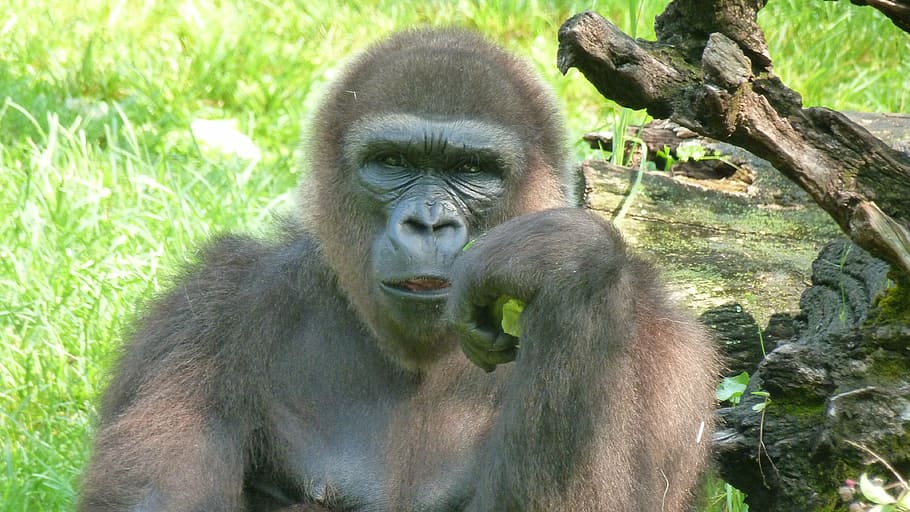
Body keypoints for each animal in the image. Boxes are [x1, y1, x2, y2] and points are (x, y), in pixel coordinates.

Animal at [79, 27, 717, 511]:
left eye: (471, 169)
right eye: (393, 161)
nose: (427, 223)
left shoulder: (664, 342)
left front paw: (563, 262)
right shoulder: (208, 311)